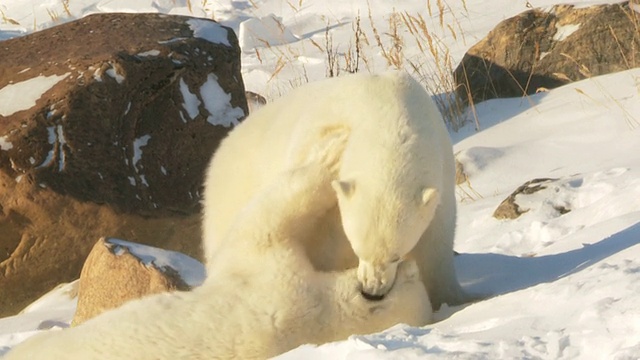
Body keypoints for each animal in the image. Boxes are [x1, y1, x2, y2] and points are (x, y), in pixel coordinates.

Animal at [205, 71, 464, 310]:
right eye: (358, 249)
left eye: (396, 255)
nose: (372, 291)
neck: (388, 113)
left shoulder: (441, 168)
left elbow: (436, 242)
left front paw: (449, 300)